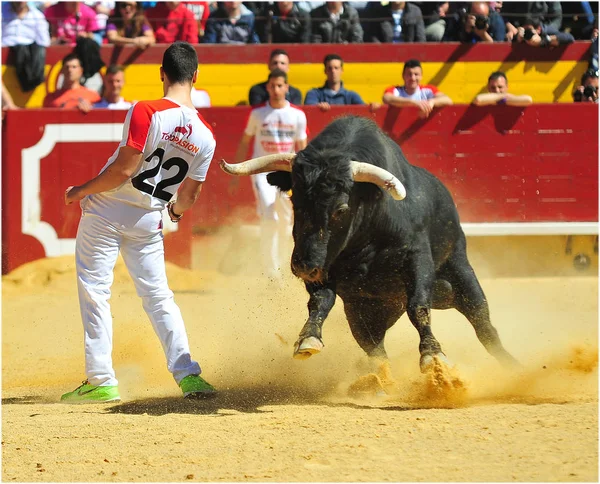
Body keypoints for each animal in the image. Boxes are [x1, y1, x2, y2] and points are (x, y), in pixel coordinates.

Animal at [220, 116, 516, 370]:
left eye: (340, 209)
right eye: (296, 202)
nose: (303, 266)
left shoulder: (417, 257)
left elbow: (418, 305)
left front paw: (433, 356)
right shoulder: (324, 267)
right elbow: (320, 301)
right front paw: (307, 339)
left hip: (461, 274)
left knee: (483, 324)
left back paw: (513, 366)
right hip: (364, 311)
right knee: (374, 346)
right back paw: (379, 379)